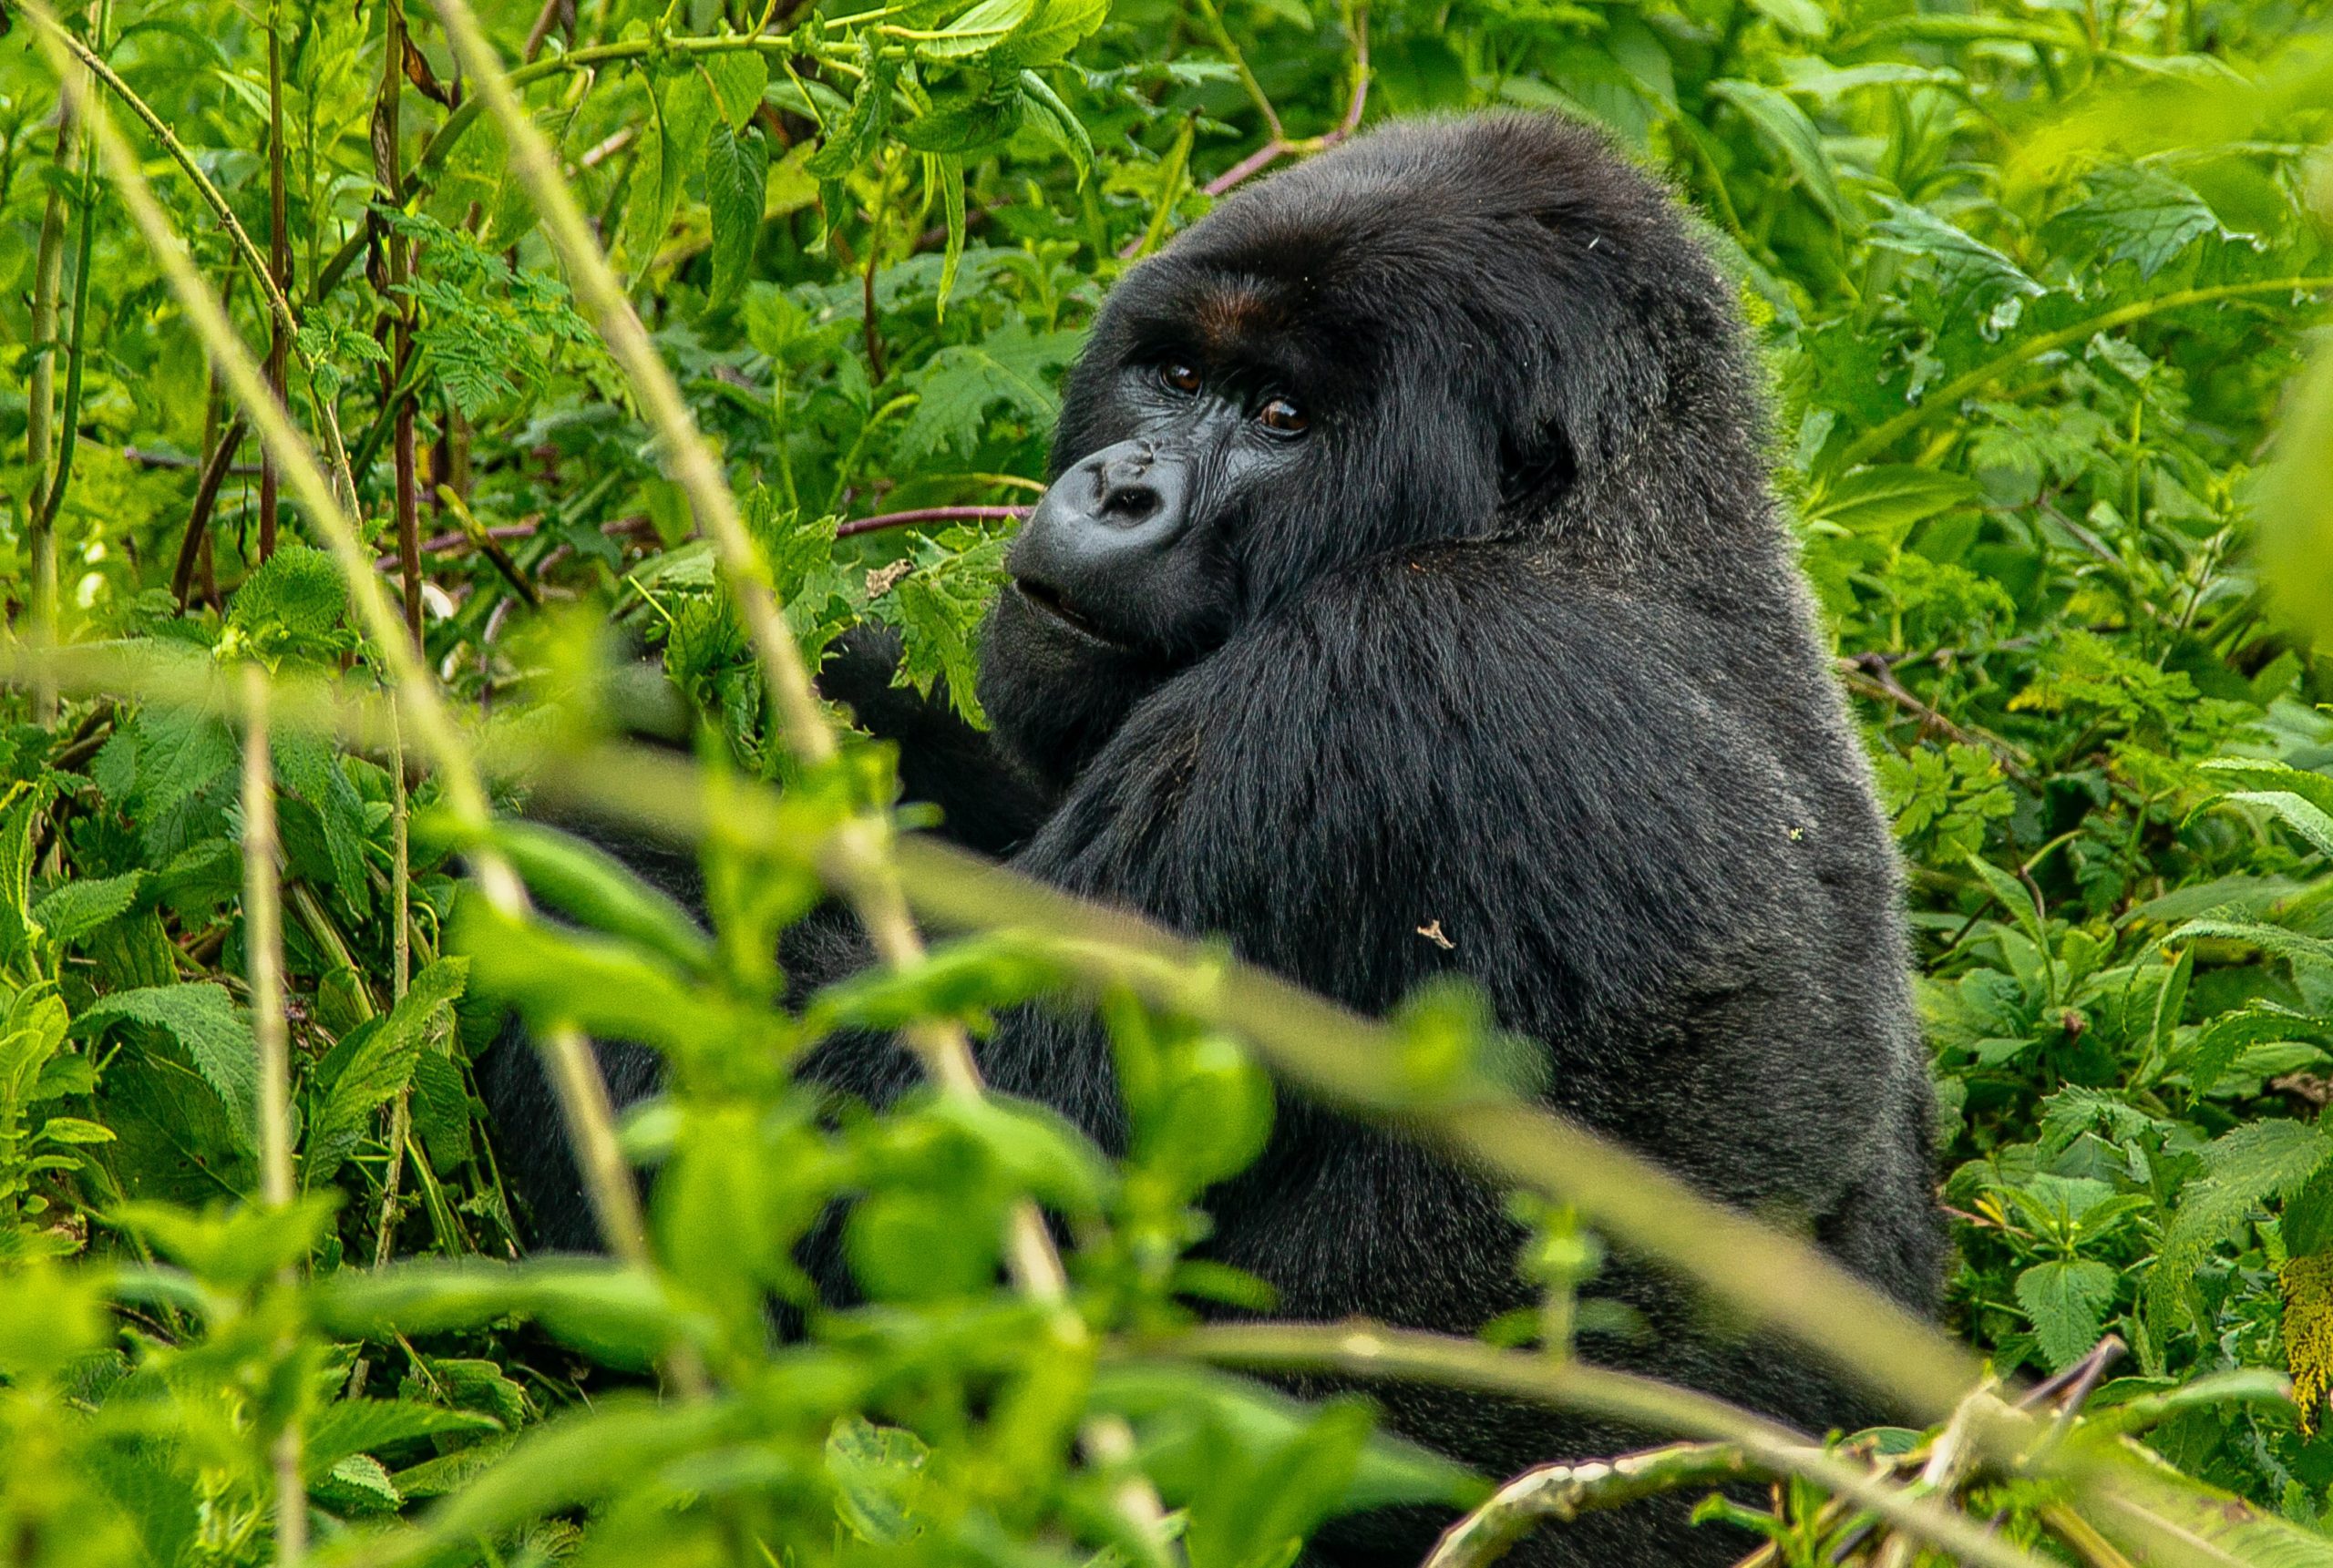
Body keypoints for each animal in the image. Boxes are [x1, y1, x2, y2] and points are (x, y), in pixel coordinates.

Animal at [482, 113, 1940, 1567]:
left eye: (1283, 419)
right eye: (1177, 374)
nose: (1119, 490)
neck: (1593, 526)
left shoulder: (1376, 686)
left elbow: (875, 1190)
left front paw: (587, 788)